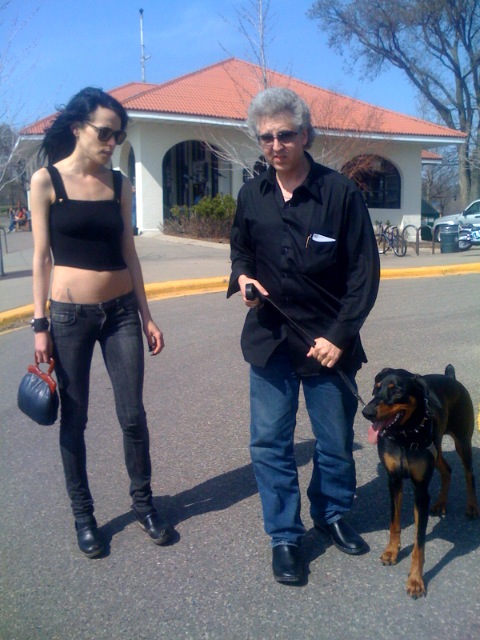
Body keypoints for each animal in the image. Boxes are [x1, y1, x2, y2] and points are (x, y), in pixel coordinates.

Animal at [362, 368, 478, 596]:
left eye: (396, 390)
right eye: (376, 387)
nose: (367, 412)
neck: (404, 435)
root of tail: (451, 377)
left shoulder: (421, 490)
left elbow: (419, 543)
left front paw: (415, 580)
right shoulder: (394, 480)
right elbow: (394, 522)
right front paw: (391, 551)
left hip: (462, 441)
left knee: (469, 475)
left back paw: (471, 507)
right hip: (436, 447)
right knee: (447, 470)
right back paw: (440, 504)